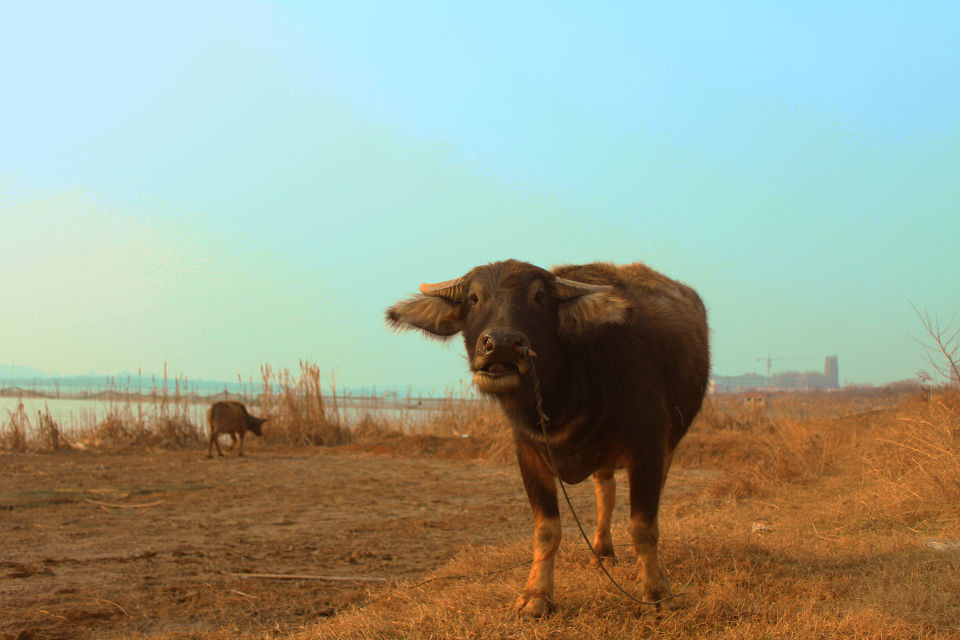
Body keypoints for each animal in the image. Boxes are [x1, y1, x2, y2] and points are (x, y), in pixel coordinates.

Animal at [386, 258, 708, 616]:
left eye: (539, 297)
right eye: (474, 298)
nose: (501, 344)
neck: (565, 390)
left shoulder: (648, 446)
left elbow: (643, 525)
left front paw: (656, 594)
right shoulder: (528, 451)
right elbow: (546, 529)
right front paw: (536, 596)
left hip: (669, 445)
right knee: (606, 492)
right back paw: (603, 551)